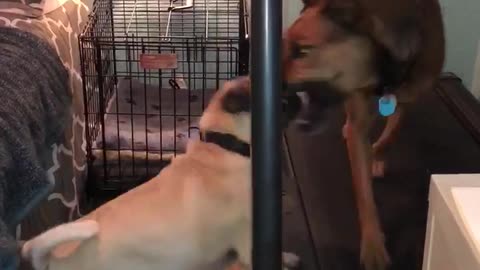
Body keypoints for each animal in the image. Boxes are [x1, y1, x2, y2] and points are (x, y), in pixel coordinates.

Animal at [284, 1, 444, 268]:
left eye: (304, 51)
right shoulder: (359, 119)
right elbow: (364, 193)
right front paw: (372, 245)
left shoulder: (408, 96)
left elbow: (392, 131)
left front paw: (377, 155)